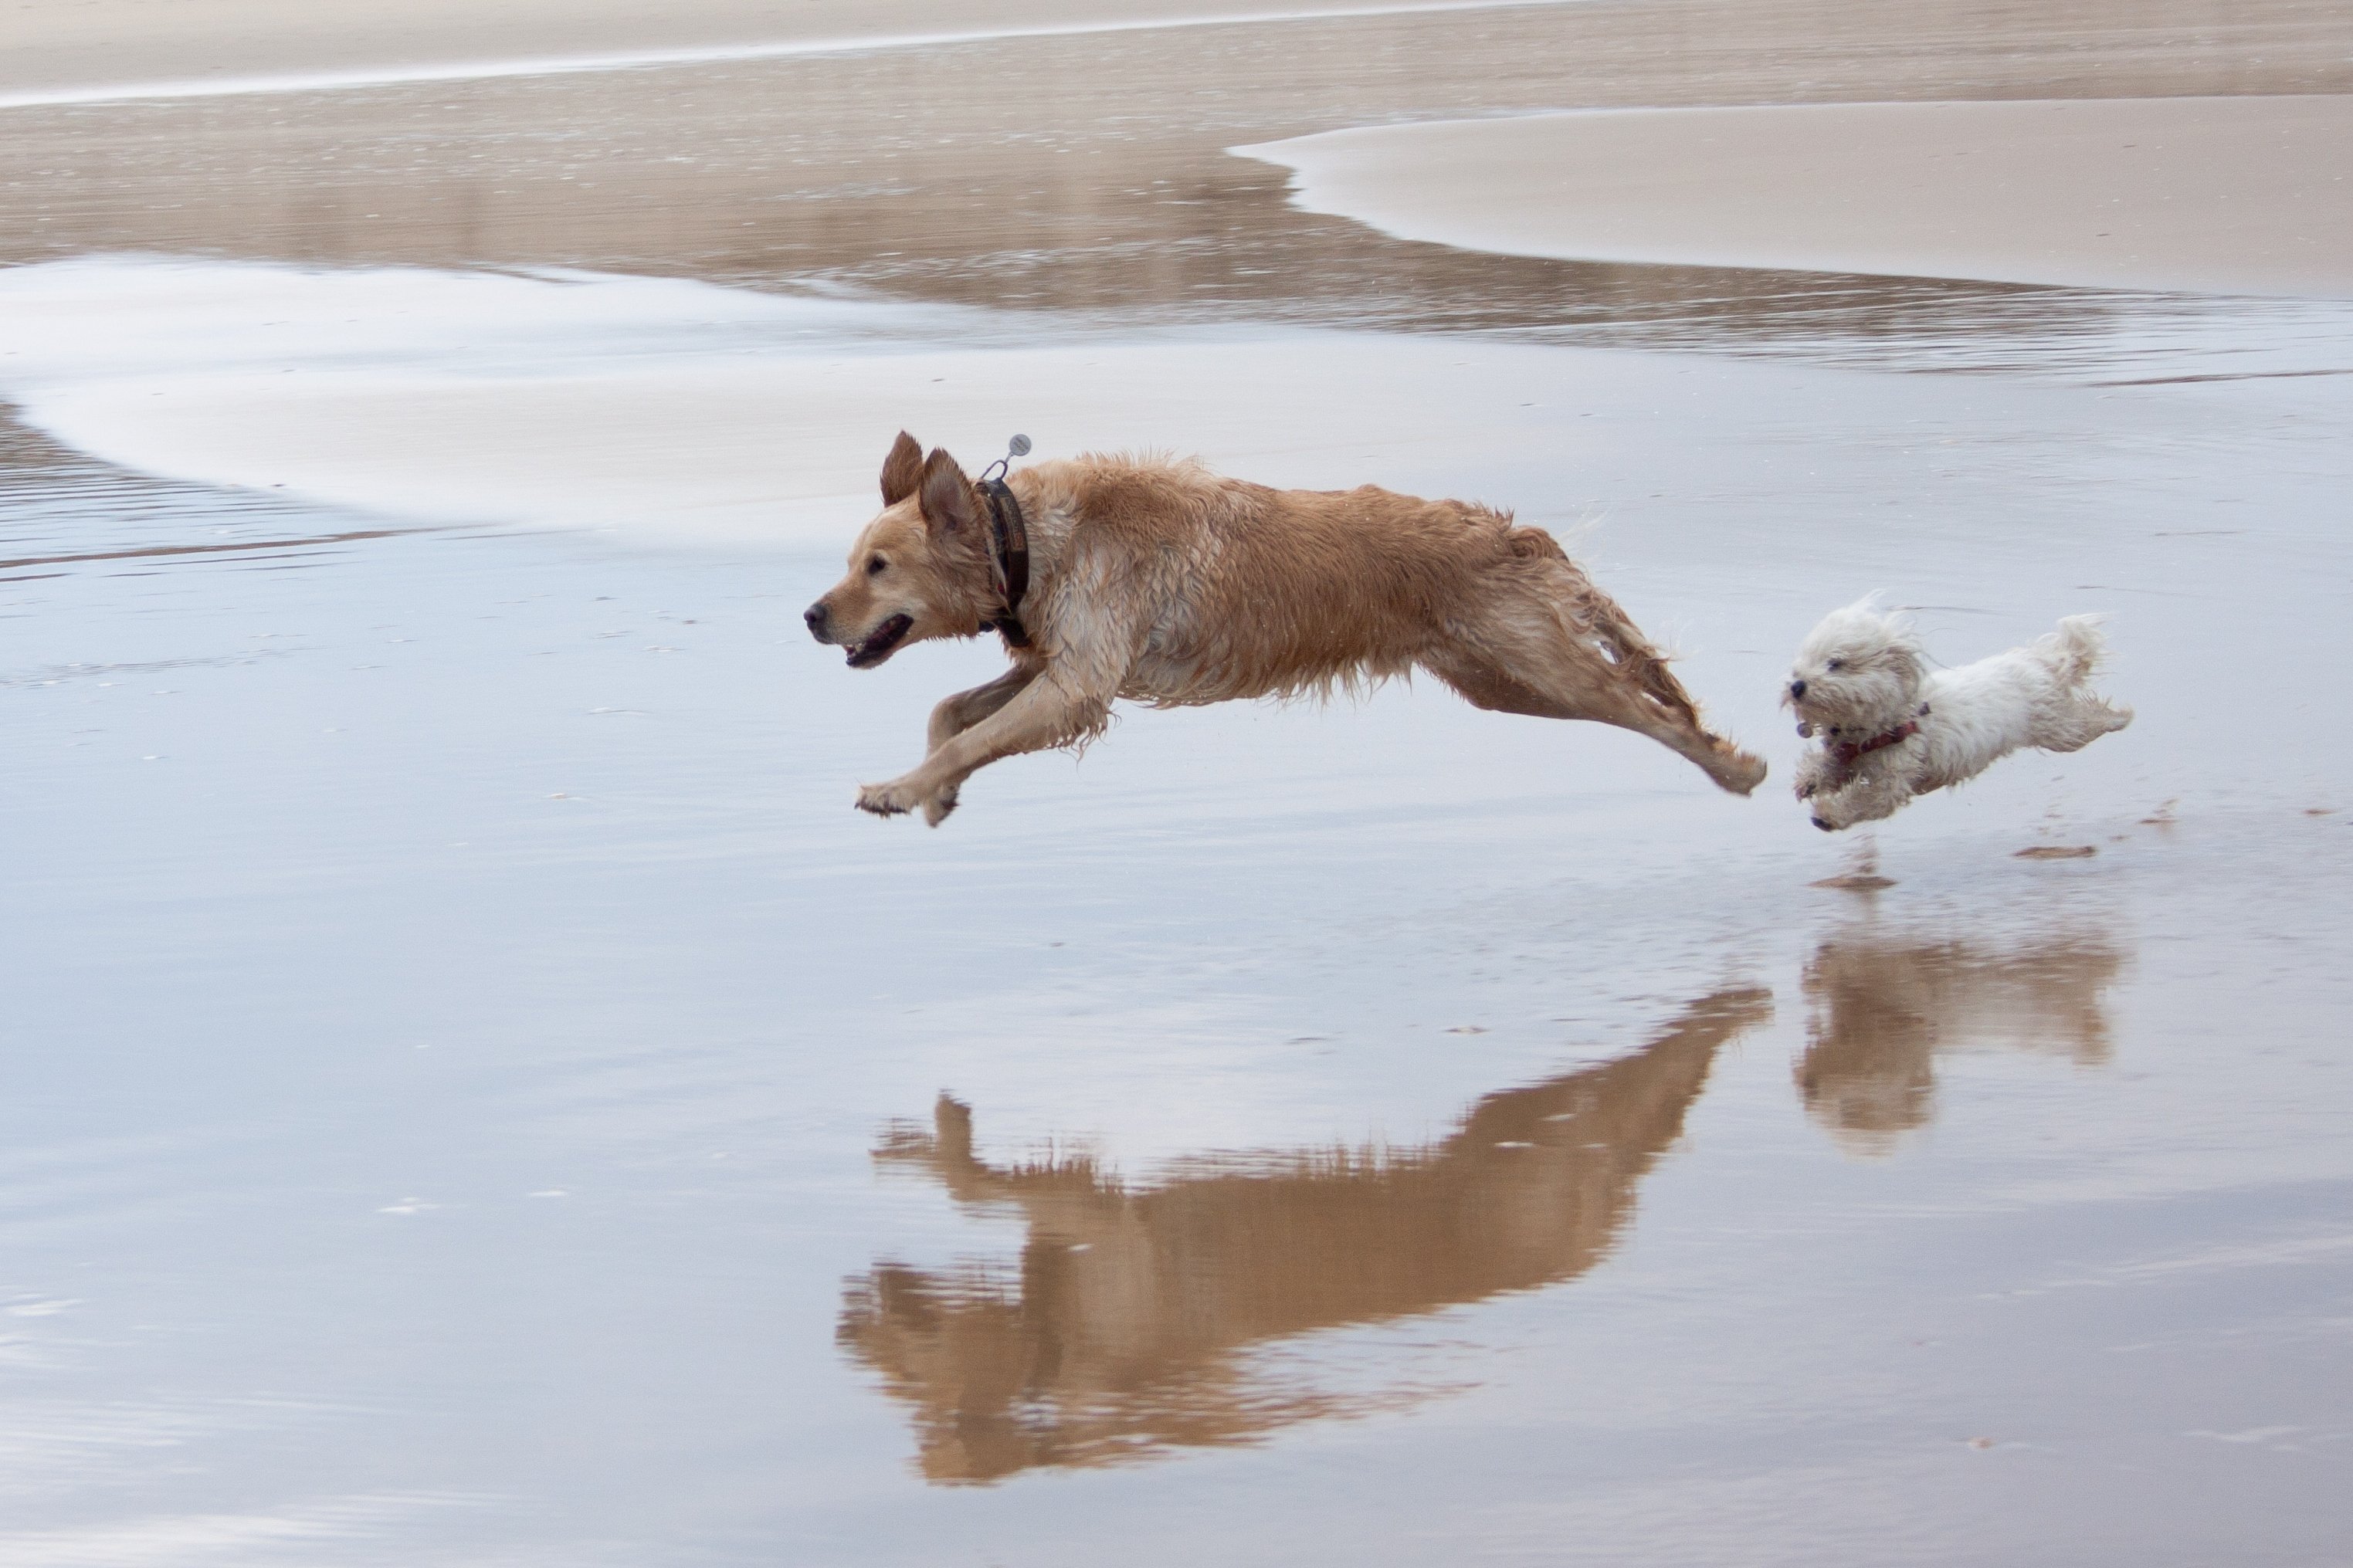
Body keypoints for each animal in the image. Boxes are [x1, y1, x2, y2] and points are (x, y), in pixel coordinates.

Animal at [1778, 597, 2136, 831]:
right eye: (1802, 664)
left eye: (1835, 663)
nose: (1796, 685)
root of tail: (2038, 661)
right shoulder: (1847, 754)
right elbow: (1827, 766)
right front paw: (1810, 780)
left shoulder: (1893, 778)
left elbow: (1867, 800)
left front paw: (1827, 815)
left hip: (2059, 728)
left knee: (2088, 721)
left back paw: (2120, 717)